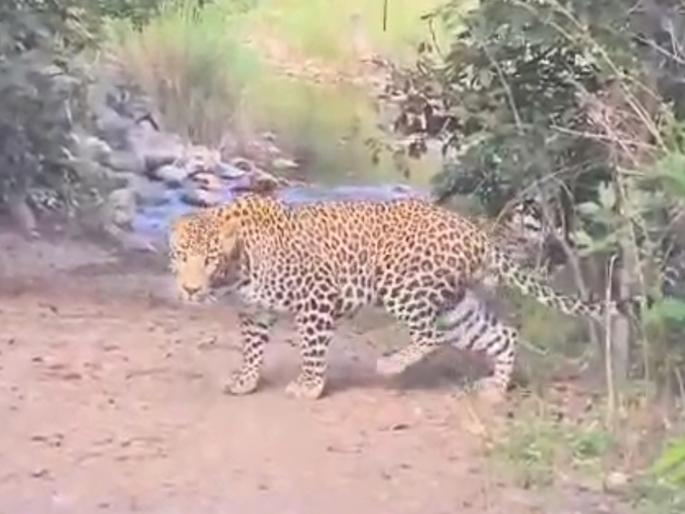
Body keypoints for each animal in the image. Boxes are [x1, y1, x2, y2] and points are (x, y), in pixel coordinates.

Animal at [168, 193, 616, 400]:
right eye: (181, 256)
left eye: (209, 259)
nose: (190, 288)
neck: (239, 266)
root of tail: (477, 234)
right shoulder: (255, 312)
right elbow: (252, 348)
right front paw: (245, 380)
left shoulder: (316, 298)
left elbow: (311, 348)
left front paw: (309, 386)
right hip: (457, 306)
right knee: (501, 334)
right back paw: (494, 388)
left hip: (403, 286)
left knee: (431, 335)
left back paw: (389, 365)